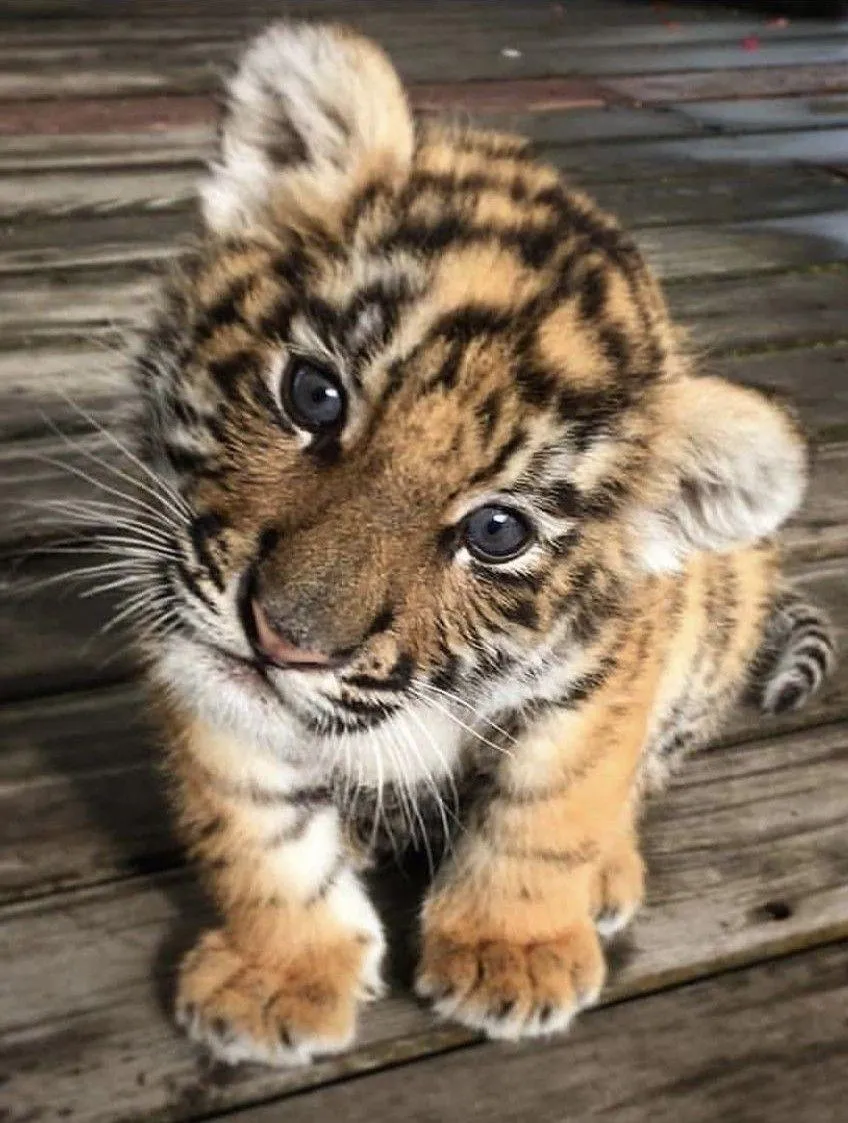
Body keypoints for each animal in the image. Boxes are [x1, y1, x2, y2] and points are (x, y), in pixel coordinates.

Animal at [128, 22, 836, 1066]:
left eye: (497, 532)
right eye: (313, 394)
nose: (282, 639)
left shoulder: (600, 678)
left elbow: (551, 807)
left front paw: (514, 953)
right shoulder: (195, 650)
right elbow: (256, 828)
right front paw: (279, 973)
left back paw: (607, 876)